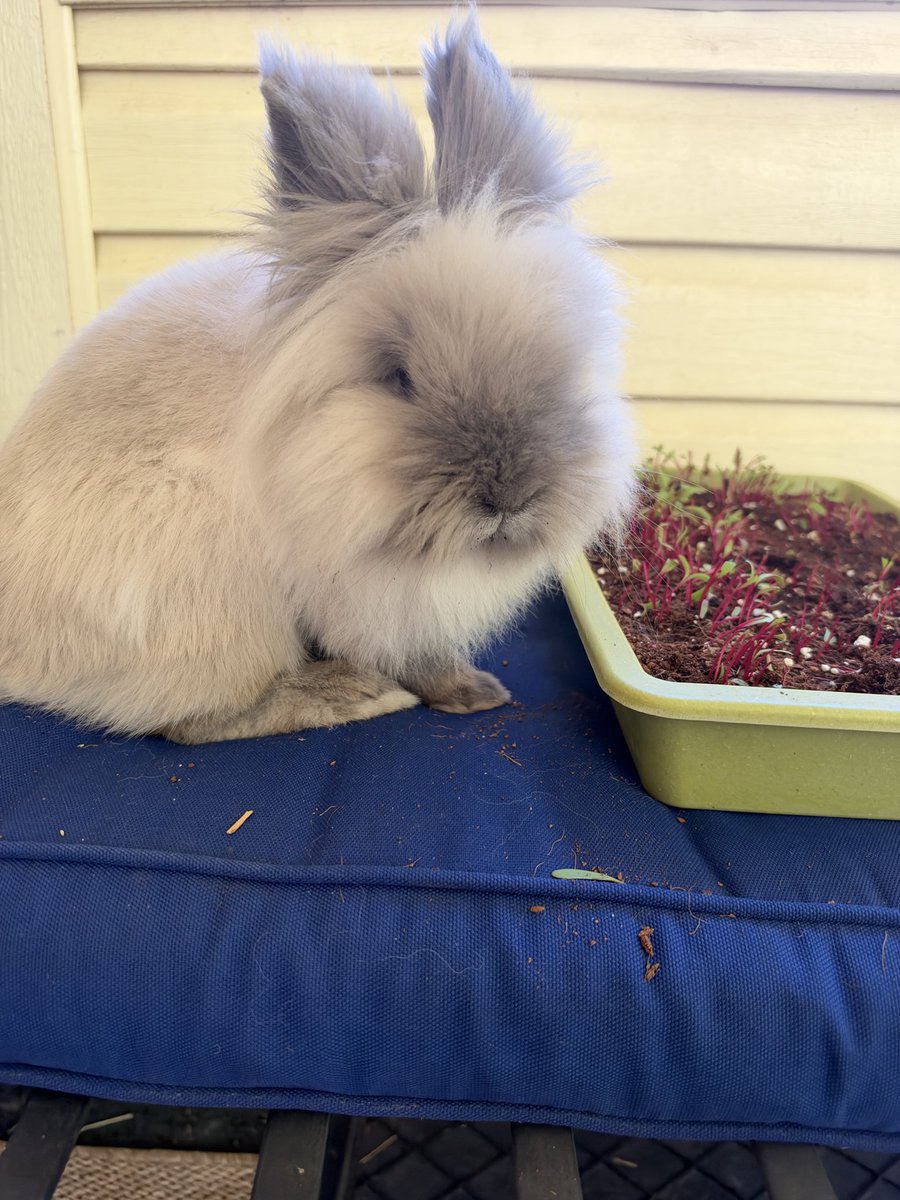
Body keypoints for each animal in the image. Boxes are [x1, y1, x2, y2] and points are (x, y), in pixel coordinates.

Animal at [0, 12, 636, 743]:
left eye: (561, 361)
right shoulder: (362, 591)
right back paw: (355, 694)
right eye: (398, 378)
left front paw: (475, 692)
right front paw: (460, 692)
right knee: (192, 721)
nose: (511, 497)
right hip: (208, 598)